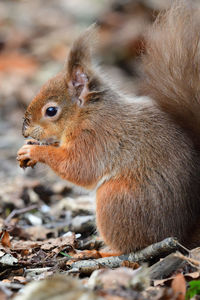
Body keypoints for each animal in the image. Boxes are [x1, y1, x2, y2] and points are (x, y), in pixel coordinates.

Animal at [16, 3, 200, 254]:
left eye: (51, 110)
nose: (24, 130)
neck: (85, 113)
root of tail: (182, 234)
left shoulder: (94, 136)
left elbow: (78, 167)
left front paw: (34, 151)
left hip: (114, 199)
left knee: (130, 247)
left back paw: (101, 251)